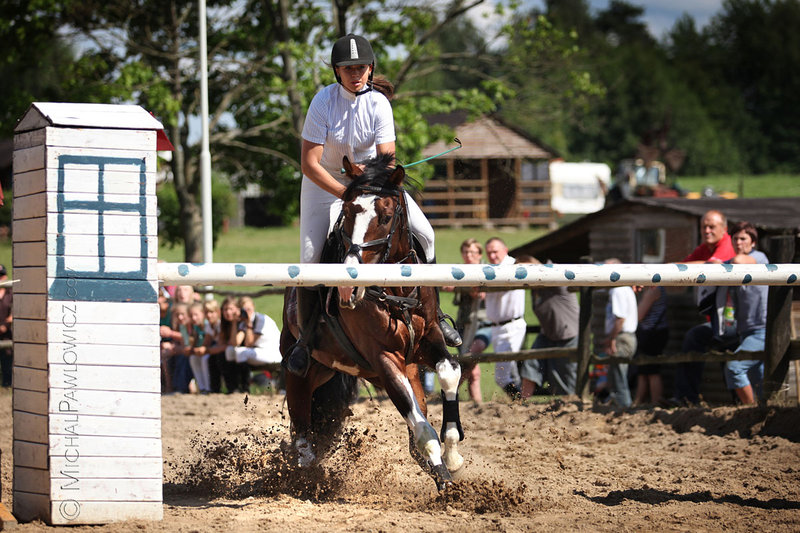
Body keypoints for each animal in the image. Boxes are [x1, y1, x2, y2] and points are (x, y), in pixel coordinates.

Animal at [282, 152, 466, 488]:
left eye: (386, 216)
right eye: (347, 213)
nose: (348, 286)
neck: (398, 289)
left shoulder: (427, 341)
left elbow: (449, 372)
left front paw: (452, 456)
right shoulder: (384, 358)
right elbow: (422, 428)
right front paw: (443, 473)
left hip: (371, 370)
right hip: (303, 372)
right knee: (301, 427)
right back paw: (305, 472)